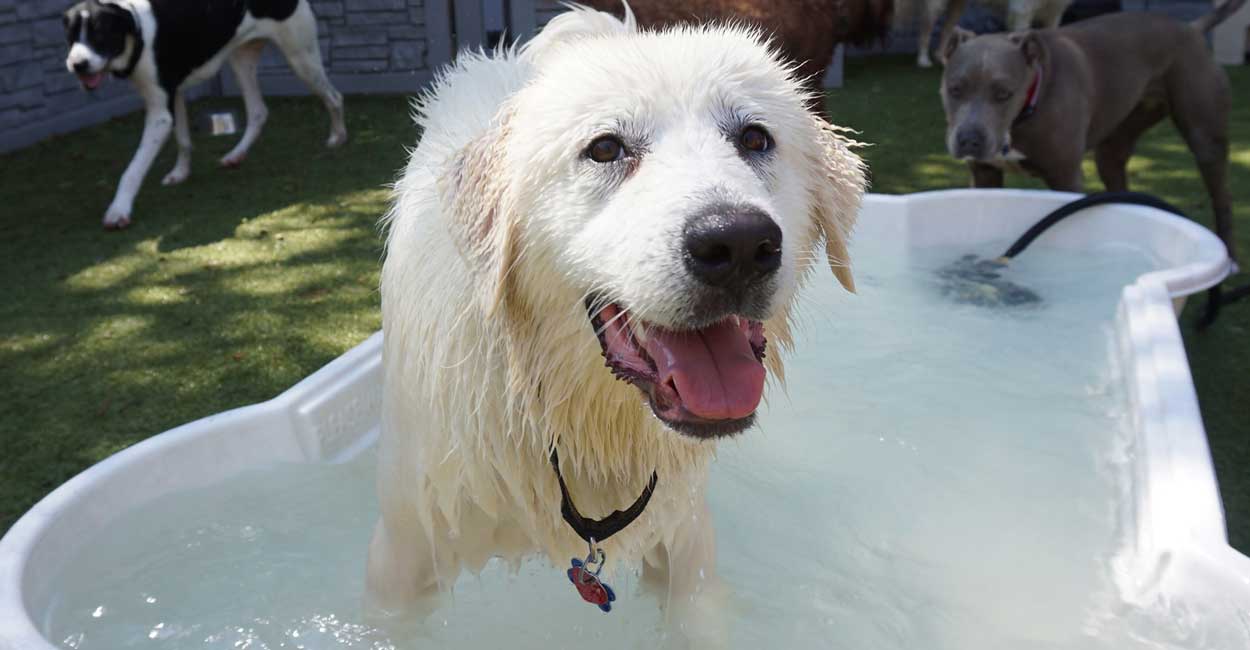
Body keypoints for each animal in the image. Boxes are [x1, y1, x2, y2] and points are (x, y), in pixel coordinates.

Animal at [64, 0, 347, 230]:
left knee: (334, 97)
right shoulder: (175, 95)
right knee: (258, 111)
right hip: (241, 60)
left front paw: (119, 210)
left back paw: (338, 137)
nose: (77, 64)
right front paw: (180, 172)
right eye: (71, 36)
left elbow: (132, 169)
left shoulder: (160, 113)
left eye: (99, 34)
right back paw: (236, 155)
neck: (137, 31)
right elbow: (183, 140)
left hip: (301, 58)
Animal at [940, 3, 1245, 261]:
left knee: (1223, 197)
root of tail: (1191, 28)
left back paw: (1229, 258)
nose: (969, 140)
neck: (1023, 113)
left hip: (1206, 138)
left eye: (1004, 93)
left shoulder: (1066, 176)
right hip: (1112, 149)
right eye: (954, 89)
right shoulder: (984, 174)